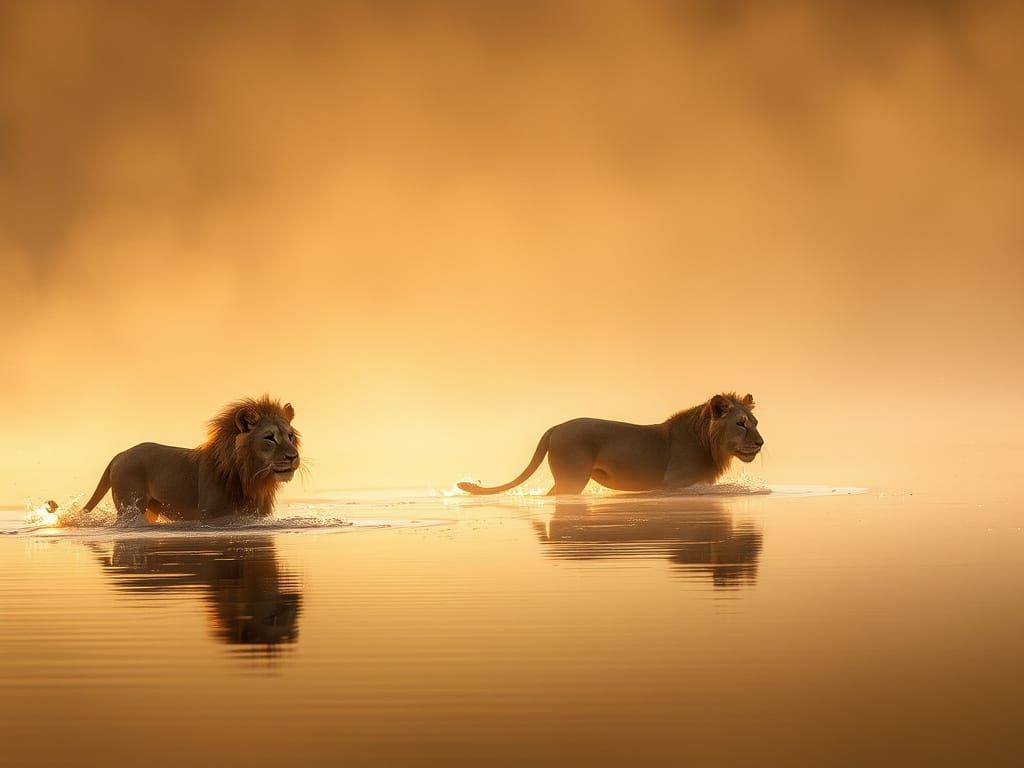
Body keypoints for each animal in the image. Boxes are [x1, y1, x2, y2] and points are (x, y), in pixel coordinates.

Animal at [53, 395, 301, 522]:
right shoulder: (211, 515)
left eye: (289, 436)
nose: (293, 457)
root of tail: (120, 454)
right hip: (130, 507)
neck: (251, 477)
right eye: (269, 438)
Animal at [458, 392, 763, 495]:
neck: (711, 447)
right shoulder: (676, 482)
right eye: (740, 424)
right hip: (572, 478)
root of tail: (556, 427)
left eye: (755, 423)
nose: (760, 443)